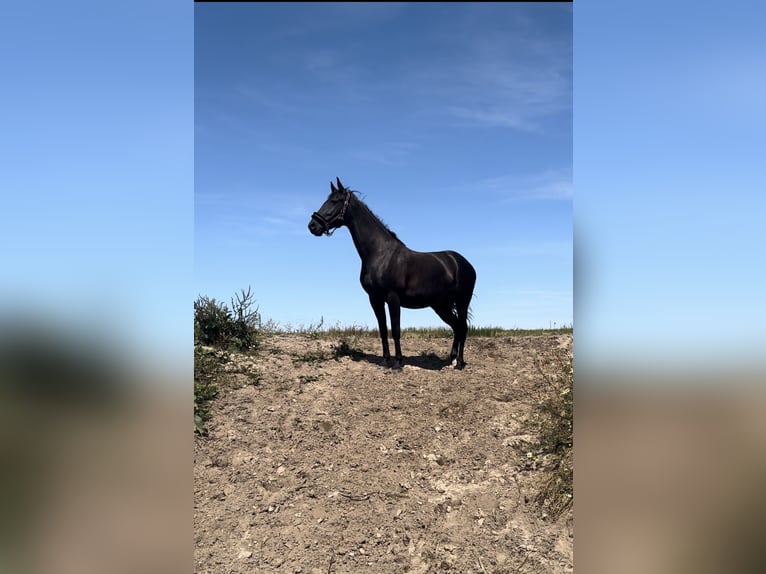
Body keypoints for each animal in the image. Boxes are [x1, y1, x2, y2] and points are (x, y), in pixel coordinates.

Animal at [308, 177, 477, 369]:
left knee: (463, 327)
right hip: (442, 305)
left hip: (462, 302)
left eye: (335, 201)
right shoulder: (375, 299)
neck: (380, 253)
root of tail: (463, 263)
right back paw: (452, 359)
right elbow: (383, 329)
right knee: (456, 327)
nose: (313, 225)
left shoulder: (393, 297)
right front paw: (385, 360)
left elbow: (395, 330)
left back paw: (459, 363)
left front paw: (398, 362)